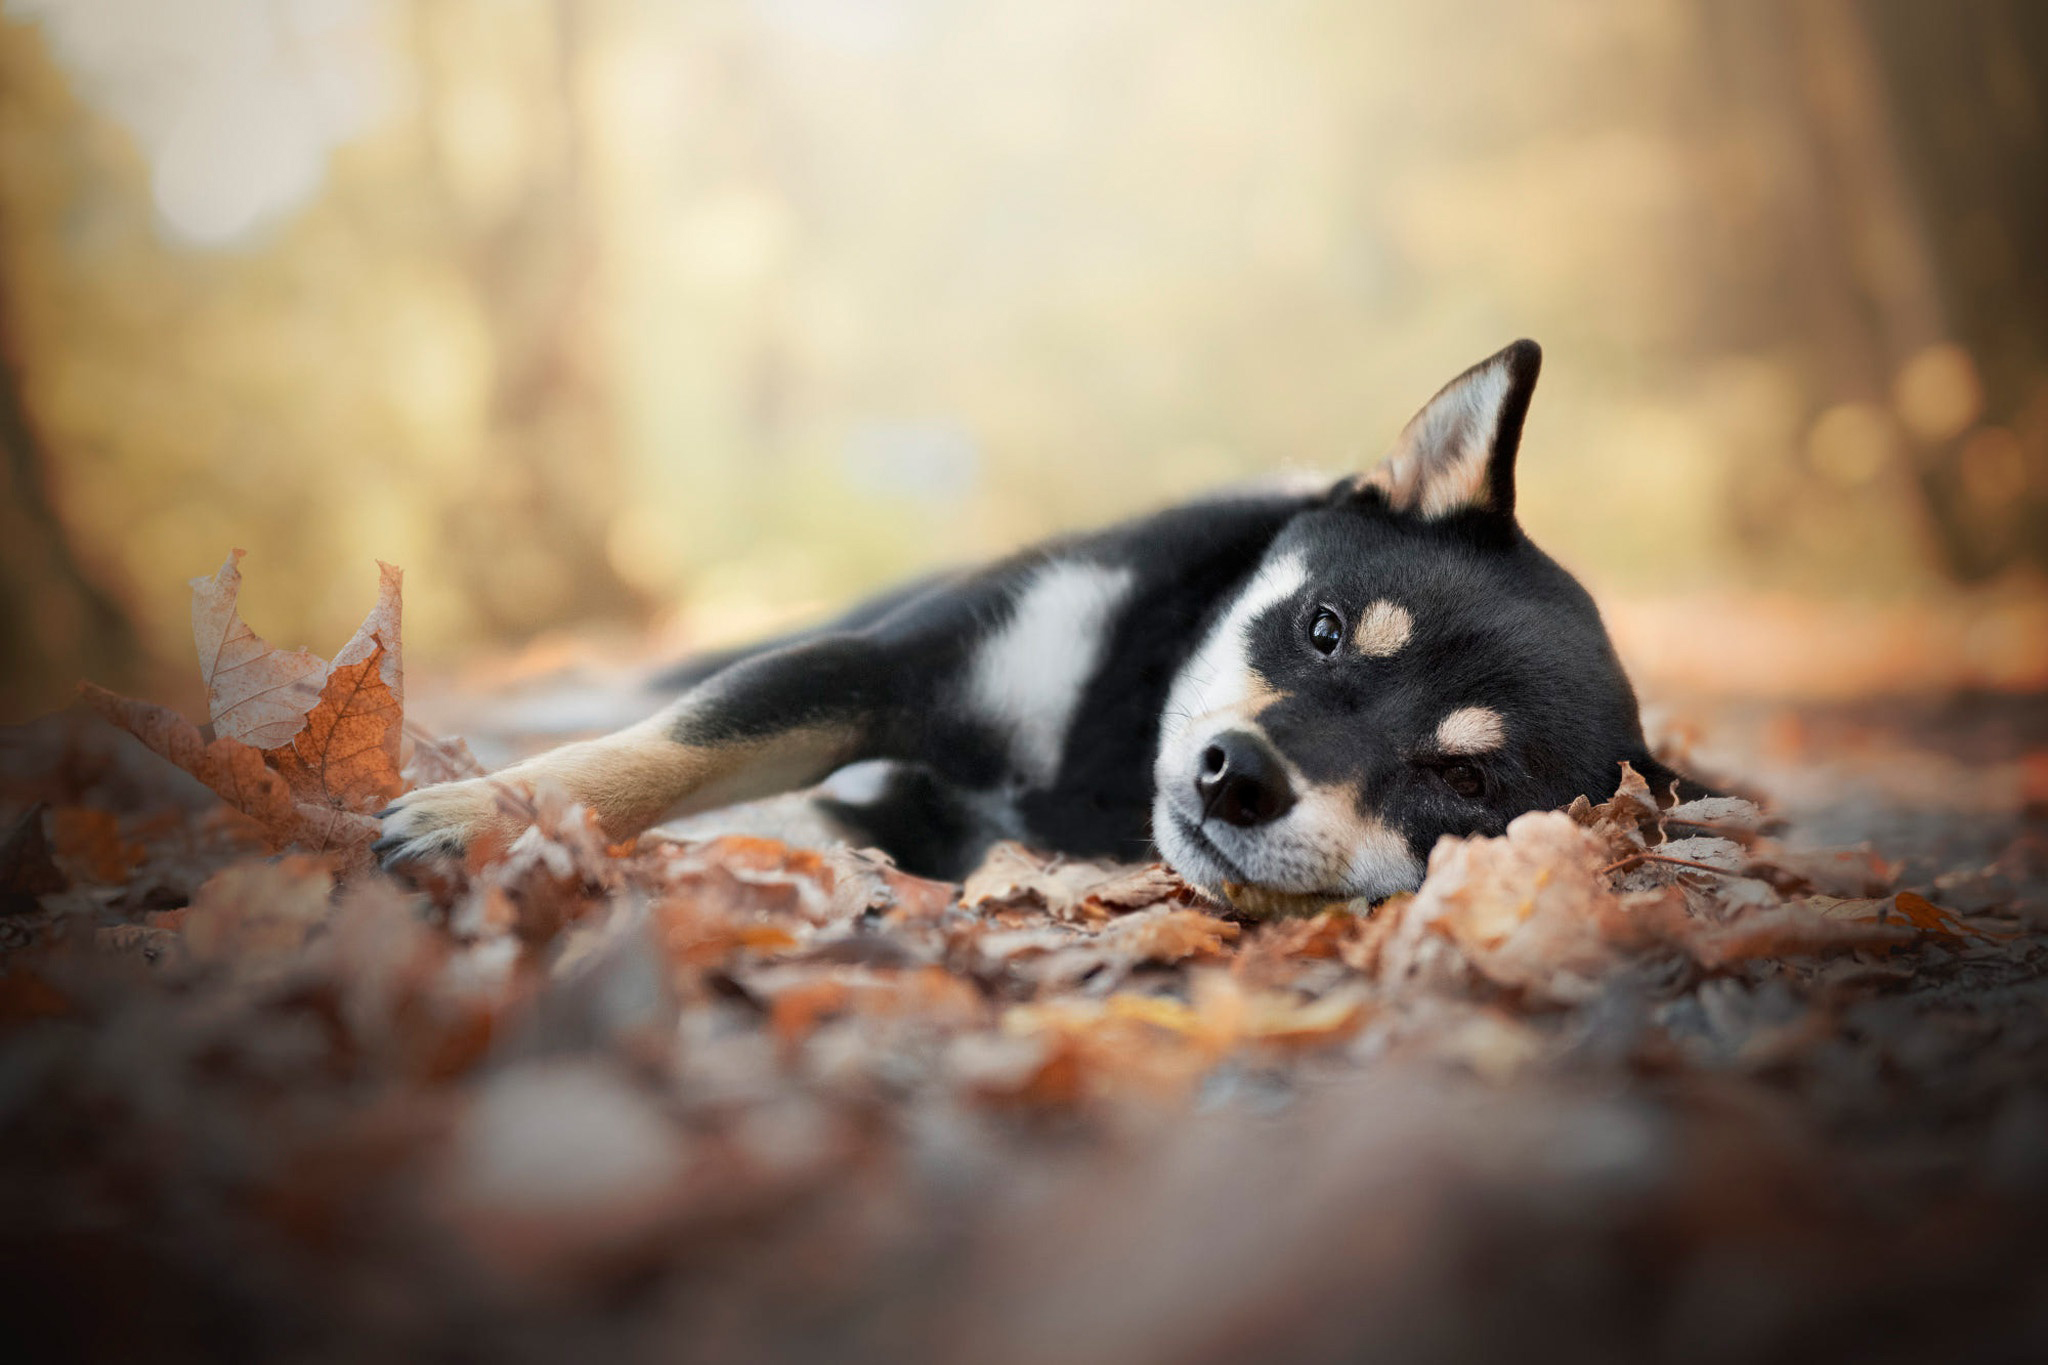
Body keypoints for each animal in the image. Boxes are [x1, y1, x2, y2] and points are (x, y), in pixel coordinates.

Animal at [376, 339, 1687, 908]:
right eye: (1321, 630)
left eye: (1462, 786)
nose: (1235, 776)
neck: (1105, 745)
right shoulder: (890, 665)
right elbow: (669, 753)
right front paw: (482, 813)